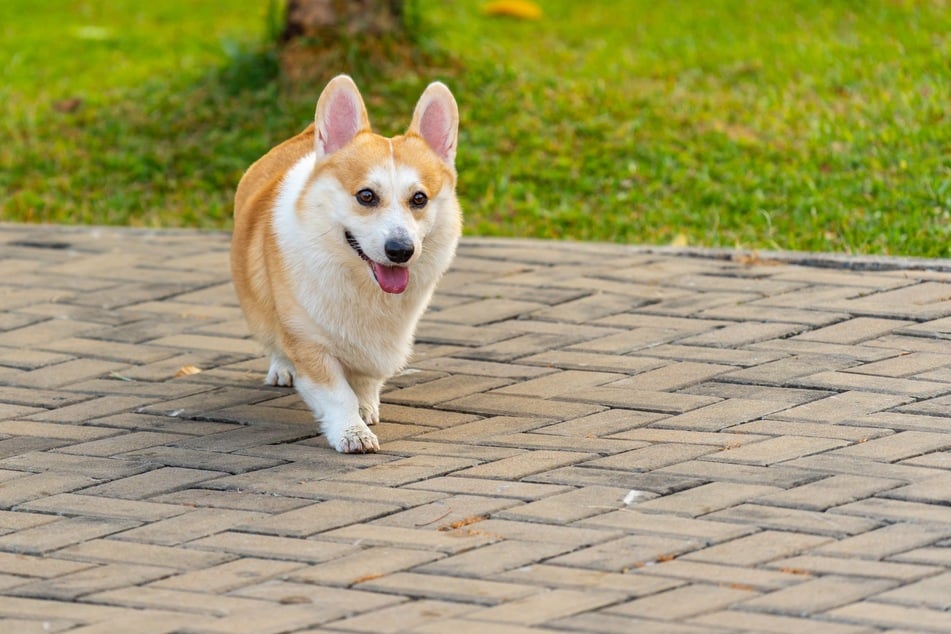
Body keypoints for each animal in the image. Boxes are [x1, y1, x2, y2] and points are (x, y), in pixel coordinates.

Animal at [234, 75, 464, 450]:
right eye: (366, 196)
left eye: (419, 199)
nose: (400, 250)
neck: (361, 283)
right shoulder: (310, 343)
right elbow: (337, 394)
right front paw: (352, 432)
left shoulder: (380, 345)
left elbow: (366, 380)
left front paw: (366, 407)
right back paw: (282, 368)